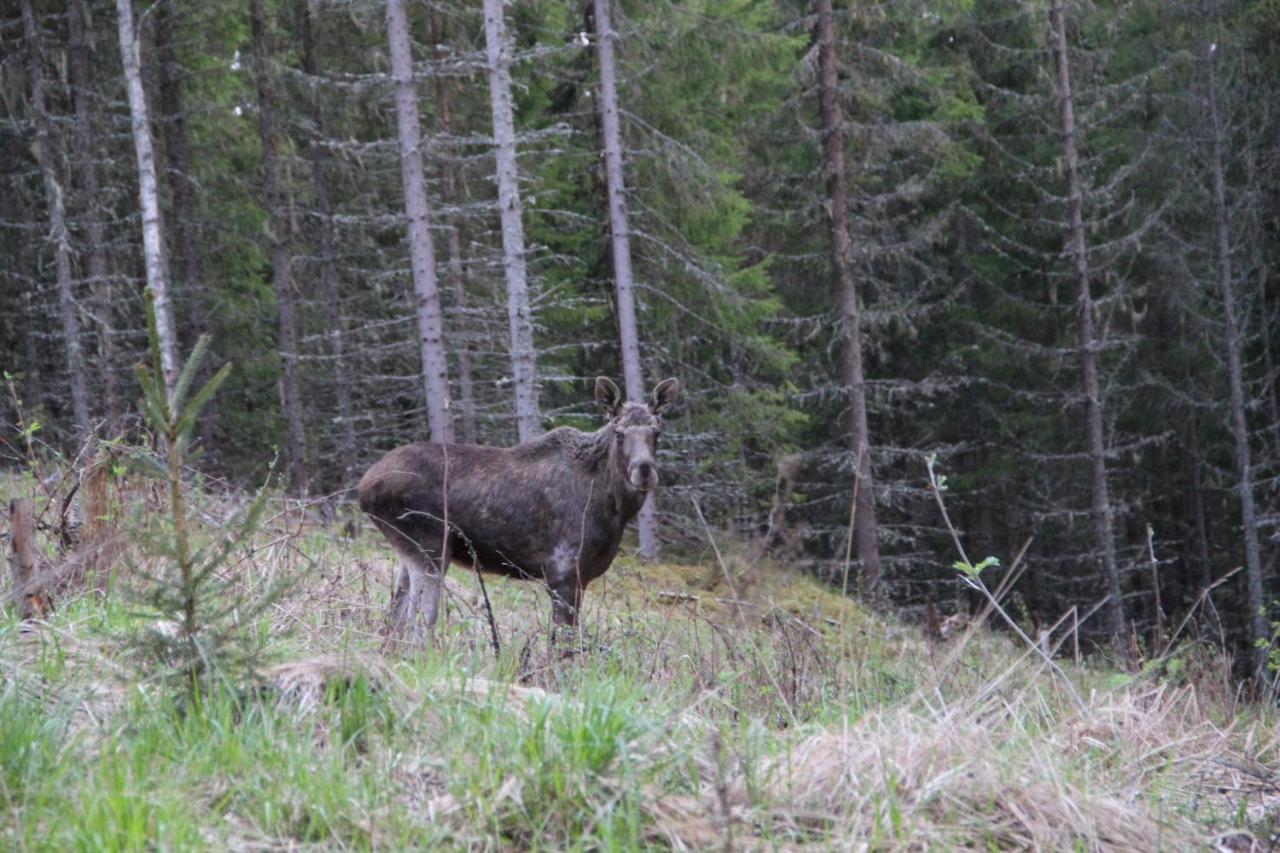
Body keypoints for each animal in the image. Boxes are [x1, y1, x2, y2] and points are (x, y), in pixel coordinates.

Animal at [360, 376, 680, 635]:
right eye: (619, 433)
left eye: (656, 432)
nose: (644, 471)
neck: (615, 510)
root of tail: (363, 488)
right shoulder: (563, 572)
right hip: (430, 547)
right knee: (417, 626)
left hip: (410, 553)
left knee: (393, 623)